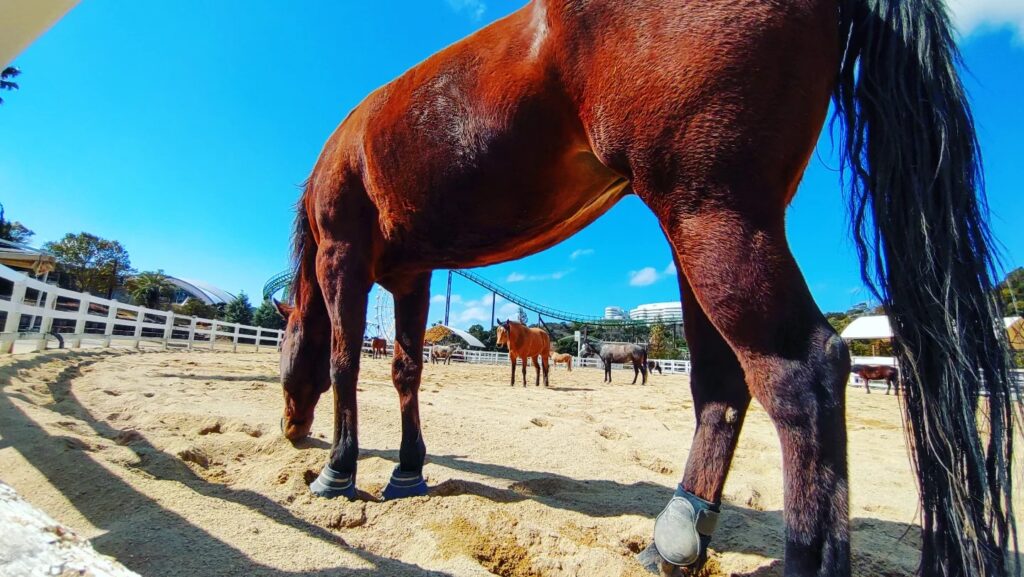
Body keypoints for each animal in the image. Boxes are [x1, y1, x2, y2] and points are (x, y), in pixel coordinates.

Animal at [274, 2, 1015, 573]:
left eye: (283, 352)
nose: (290, 430)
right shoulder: (413, 274)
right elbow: (406, 369)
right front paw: (406, 469)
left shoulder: (343, 256)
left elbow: (344, 360)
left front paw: (339, 471)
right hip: (700, 229)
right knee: (723, 382)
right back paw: (677, 531)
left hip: (711, 213)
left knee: (801, 373)